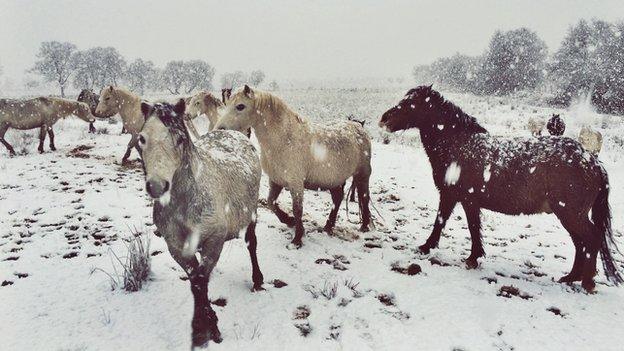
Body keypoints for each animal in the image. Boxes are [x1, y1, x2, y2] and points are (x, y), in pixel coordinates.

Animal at [139, 99, 264, 350]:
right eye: (142, 139)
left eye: (179, 139)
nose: (157, 186)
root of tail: (237, 134)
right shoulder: (176, 247)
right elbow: (196, 281)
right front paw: (209, 324)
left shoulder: (213, 242)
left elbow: (200, 281)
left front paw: (202, 331)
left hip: (252, 213)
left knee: (251, 244)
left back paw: (257, 280)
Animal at [216, 86, 370, 249]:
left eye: (240, 106)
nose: (220, 129)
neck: (284, 139)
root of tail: (359, 128)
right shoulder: (275, 180)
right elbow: (271, 203)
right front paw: (289, 221)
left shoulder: (296, 184)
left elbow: (297, 210)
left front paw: (297, 238)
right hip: (334, 180)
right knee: (338, 198)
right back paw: (328, 226)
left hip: (362, 174)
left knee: (364, 197)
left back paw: (364, 226)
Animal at [378, 86, 620, 294]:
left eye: (411, 104)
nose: (384, 119)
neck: (459, 145)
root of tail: (592, 161)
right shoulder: (459, 198)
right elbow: (459, 225)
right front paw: (468, 256)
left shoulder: (458, 197)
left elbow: (452, 224)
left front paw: (439, 250)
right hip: (569, 215)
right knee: (581, 243)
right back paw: (570, 277)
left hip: (571, 213)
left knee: (591, 239)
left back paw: (587, 282)